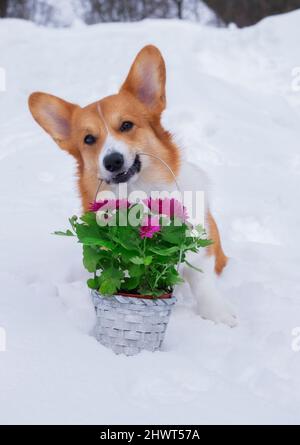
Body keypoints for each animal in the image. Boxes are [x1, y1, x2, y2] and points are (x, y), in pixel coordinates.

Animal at [29, 45, 238, 324]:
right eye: (88, 139)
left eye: (126, 125)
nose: (112, 161)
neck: (141, 193)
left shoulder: (202, 241)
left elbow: (202, 277)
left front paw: (218, 313)